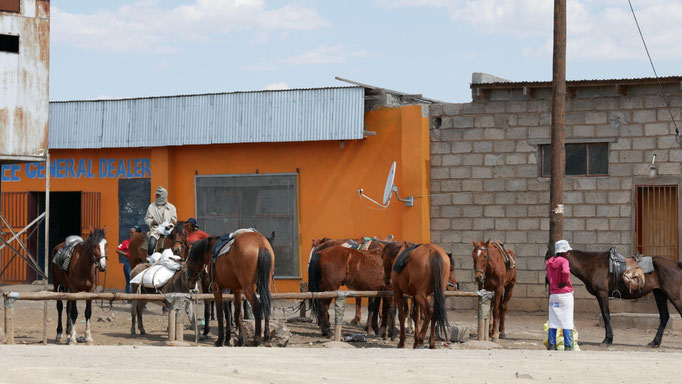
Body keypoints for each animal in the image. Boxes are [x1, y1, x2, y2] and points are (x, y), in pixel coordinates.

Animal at [548, 248, 680, 346]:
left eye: (556, 262)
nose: (548, 280)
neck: (592, 265)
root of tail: (676, 264)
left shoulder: (602, 294)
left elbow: (606, 315)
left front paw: (607, 339)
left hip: (674, 296)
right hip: (659, 294)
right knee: (664, 317)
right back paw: (655, 342)